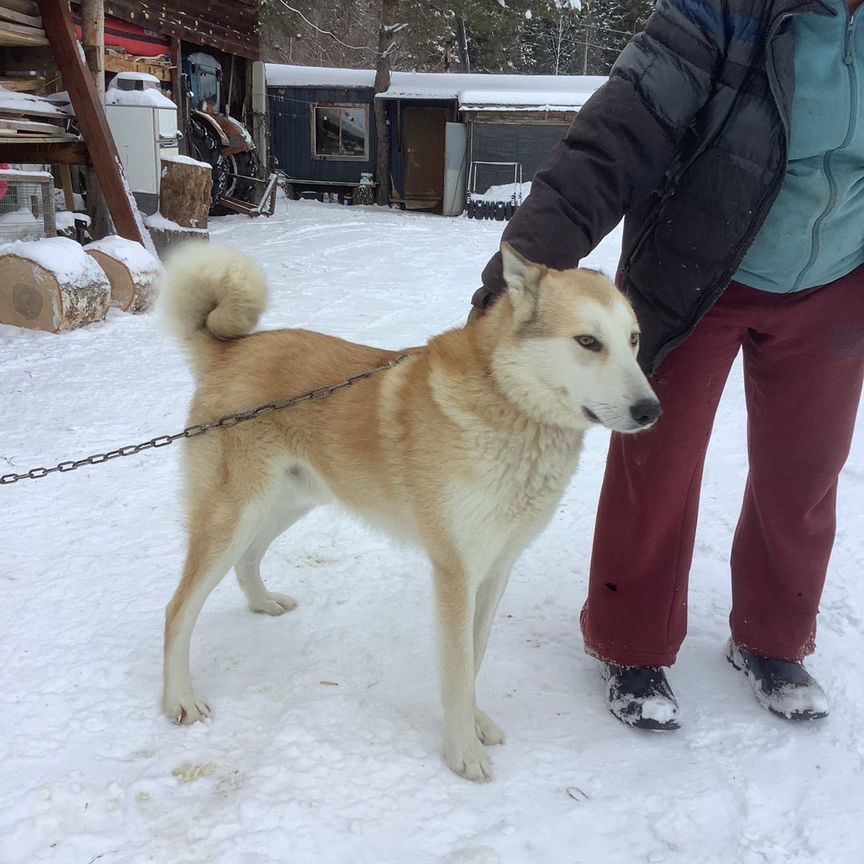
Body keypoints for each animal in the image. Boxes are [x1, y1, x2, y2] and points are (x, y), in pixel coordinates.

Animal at [160, 241, 660, 784]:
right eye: (588, 341)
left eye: (633, 339)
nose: (651, 410)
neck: (508, 405)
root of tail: (229, 349)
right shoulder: (455, 572)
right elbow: (457, 666)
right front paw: (462, 751)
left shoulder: (496, 569)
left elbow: (475, 657)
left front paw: (474, 723)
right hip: (235, 514)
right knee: (178, 609)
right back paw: (179, 698)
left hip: (287, 503)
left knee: (248, 559)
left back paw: (263, 603)